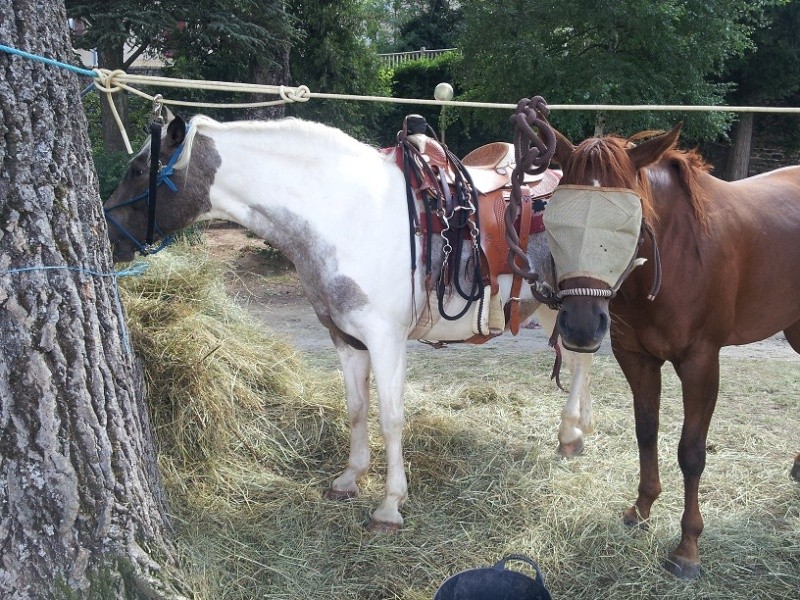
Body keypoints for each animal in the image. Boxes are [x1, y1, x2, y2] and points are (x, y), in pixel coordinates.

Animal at [103, 115, 596, 532]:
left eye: (138, 169)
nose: (108, 235)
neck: (345, 214)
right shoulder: (345, 338)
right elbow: (357, 408)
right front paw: (350, 478)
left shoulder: (386, 340)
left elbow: (391, 417)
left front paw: (390, 504)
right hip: (550, 304)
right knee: (578, 362)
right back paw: (574, 434)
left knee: (582, 360)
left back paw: (571, 431)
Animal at [544, 124, 800, 580]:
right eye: (556, 217)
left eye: (629, 223)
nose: (581, 325)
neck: (678, 254)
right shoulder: (636, 357)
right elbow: (646, 431)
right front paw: (641, 509)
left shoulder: (701, 362)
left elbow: (691, 453)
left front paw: (687, 548)